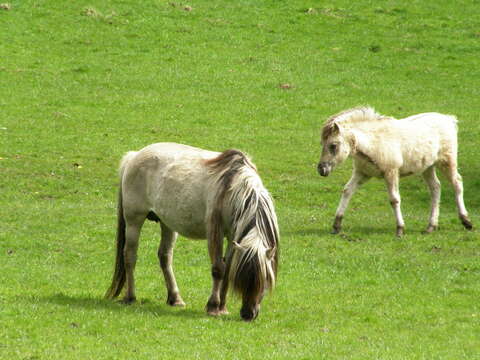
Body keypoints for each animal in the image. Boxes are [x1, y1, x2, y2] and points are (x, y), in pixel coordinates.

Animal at [103, 143, 280, 320]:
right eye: (244, 280)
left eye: (265, 280)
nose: (248, 314)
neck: (233, 188)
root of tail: (133, 156)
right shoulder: (215, 233)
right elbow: (218, 269)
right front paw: (213, 306)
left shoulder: (233, 236)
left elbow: (228, 269)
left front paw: (222, 306)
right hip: (134, 220)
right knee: (130, 256)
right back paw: (131, 297)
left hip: (167, 223)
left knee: (165, 257)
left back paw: (175, 298)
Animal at [316, 107, 474, 236]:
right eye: (322, 144)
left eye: (333, 145)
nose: (321, 169)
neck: (373, 142)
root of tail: (449, 119)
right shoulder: (362, 173)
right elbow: (347, 191)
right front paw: (336, 226)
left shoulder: (391, 172)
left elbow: (394, 199)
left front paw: (400, 229)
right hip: (427, 167)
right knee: (435, 187)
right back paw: (431, 226)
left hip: (447, 161)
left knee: (457, 183)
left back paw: (466, 221)